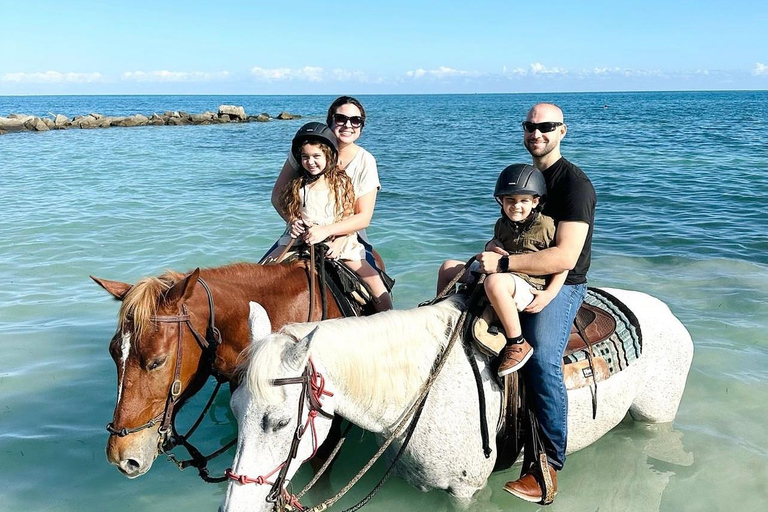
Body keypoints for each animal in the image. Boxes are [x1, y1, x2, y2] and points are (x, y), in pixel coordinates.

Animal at [219, 288, 692, 512]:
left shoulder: (465, 491)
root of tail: (668, 313)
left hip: (655, 417)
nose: (234, 506)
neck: (420, 386)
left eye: (280, 422)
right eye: (234, 411)